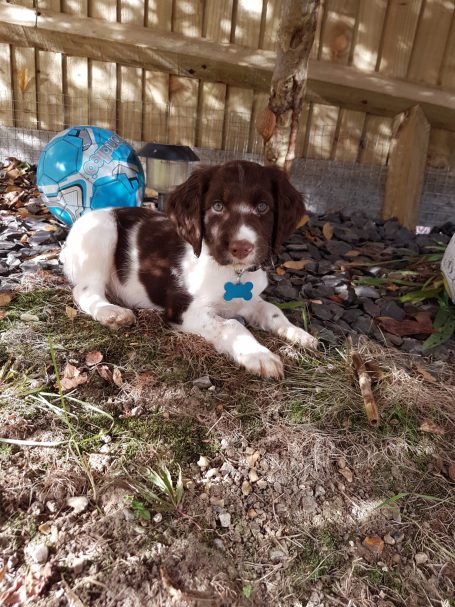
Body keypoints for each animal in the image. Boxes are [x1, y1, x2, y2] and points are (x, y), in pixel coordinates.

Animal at [60, 159, 318, 378]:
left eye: (263, 207)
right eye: (217, 206)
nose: (242, 248)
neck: (231, 272)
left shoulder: (249, 299)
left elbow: (273, 311)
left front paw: (300, 334)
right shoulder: (183, 307)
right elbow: (232, 325)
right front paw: (260, 355)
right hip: (102, 231)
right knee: (85, 290)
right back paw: (111, 312)